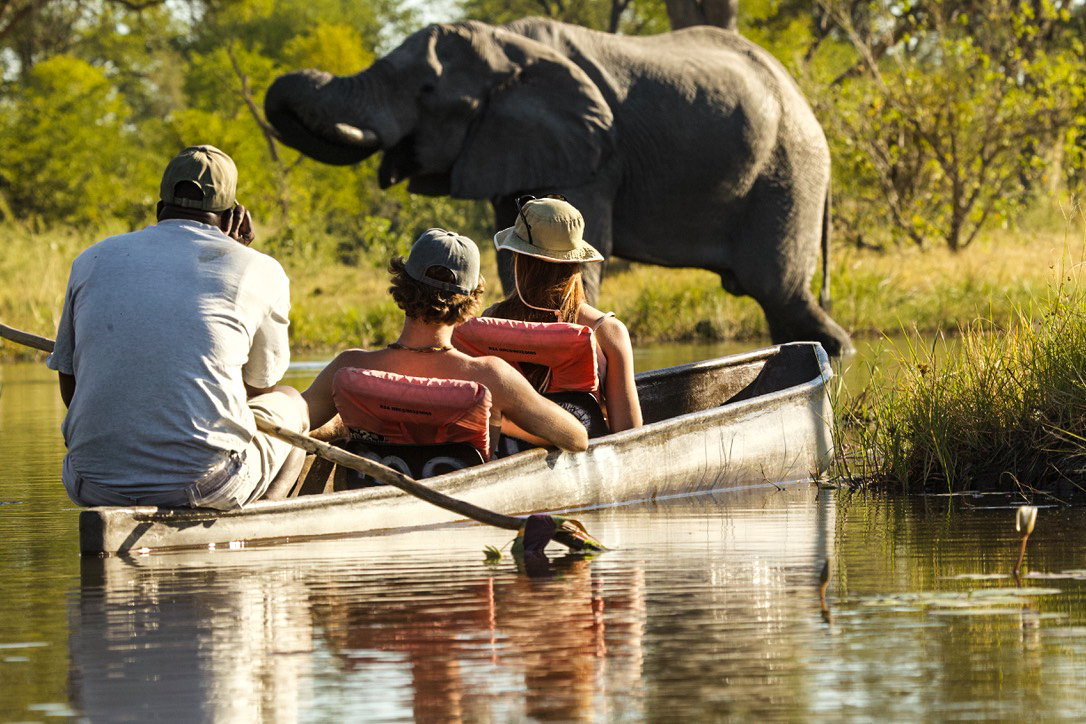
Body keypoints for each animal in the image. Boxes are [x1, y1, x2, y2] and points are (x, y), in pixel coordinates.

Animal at [264, 17, 853, 356]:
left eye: (428, 90)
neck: (509, 45)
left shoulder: (591, 153)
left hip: (789, 173)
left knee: (775, 287)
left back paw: (833, 350)